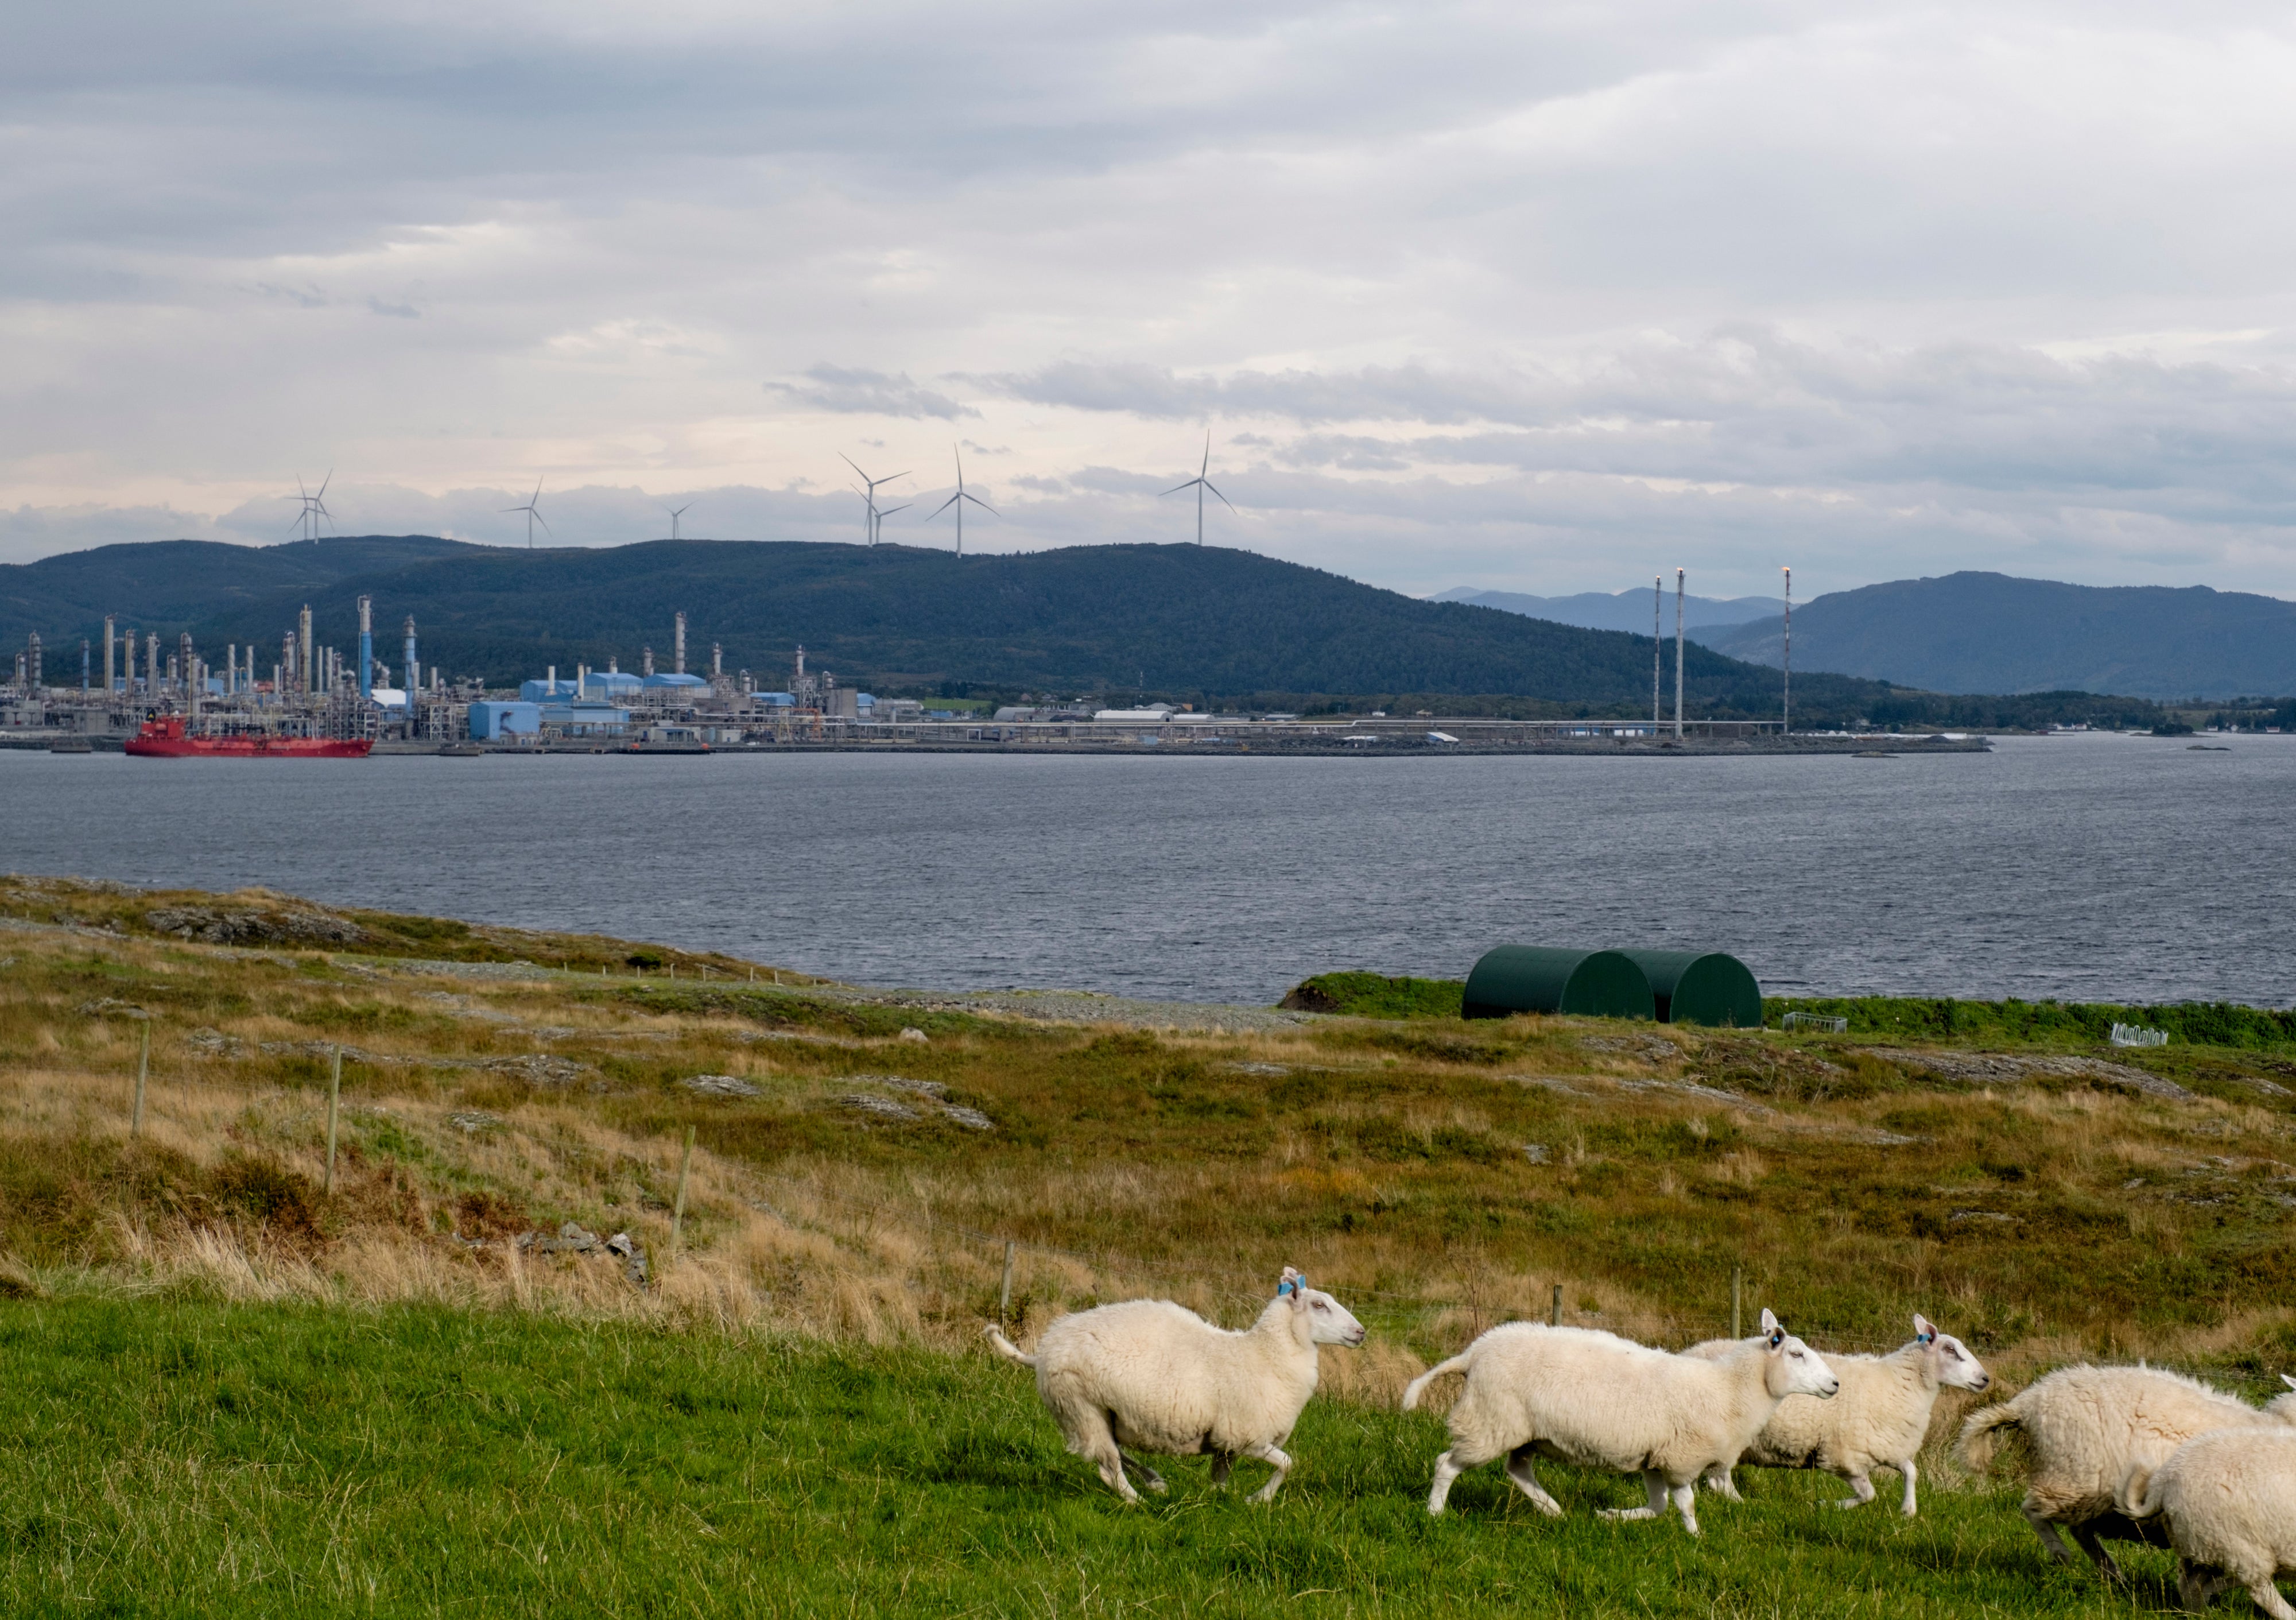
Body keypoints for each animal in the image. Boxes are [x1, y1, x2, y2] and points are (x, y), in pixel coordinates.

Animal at [983, 1266, 1359, 1505]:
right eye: (1319, 1305)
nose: (1361, 1332)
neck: (1265, 1355)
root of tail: (1043, 1351)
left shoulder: (1226, 1441)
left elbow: (1220, 1478)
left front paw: (1221, 1501)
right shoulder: (1247, 1436)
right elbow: (1289, 1464)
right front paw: (1259, 1499)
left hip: (1098, 1415)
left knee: (1113, 1451)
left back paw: (1155, 1482)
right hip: (1081, 1407)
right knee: (1109, 1468)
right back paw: (1138, 1502)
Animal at [1387, 1303, 1837, 1524]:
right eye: (1796, 1353)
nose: (1835, 1385)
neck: (1729, 1388)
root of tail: (1474, 1352)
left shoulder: (1656, 1459)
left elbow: (1659, 1508)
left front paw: (1611, 1517)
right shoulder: (1681, 1459)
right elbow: (1686, 1505)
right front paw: (1695, 1539)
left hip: (1525, 1431)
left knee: (1516, 1469)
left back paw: (1553, 1511)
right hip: (1490, 1421)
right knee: (1446, 1464)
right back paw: (1435, 1513)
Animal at [1690, 1303, 1993, 1505]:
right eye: (1951, 1350)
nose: (1985, 1379)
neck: (1899, 1383)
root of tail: (1694, 1349)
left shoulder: (1888, 1446)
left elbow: (1911, 1472)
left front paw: (1908, 1510)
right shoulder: (1845, 1456)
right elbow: (1868, 1495)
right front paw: (1829, 1505)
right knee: (1718, 1480)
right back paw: (1742, 1504)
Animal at [1956, 1358, 2296, 1579]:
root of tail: (2029, 1401)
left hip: (2091, 1492)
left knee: (2080, 1529)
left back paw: (2112, 1574)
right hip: (2072, 1476)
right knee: (2034, 1511)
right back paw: (2062, 1555)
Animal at [2122, 1423, 2296, 1615]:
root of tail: (2163, 1480)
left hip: (2201, 1542)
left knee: (2191, 1585)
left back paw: (2201, 1613)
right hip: (2242, 1546)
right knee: (2260, 1590)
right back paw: (2289, 1614)